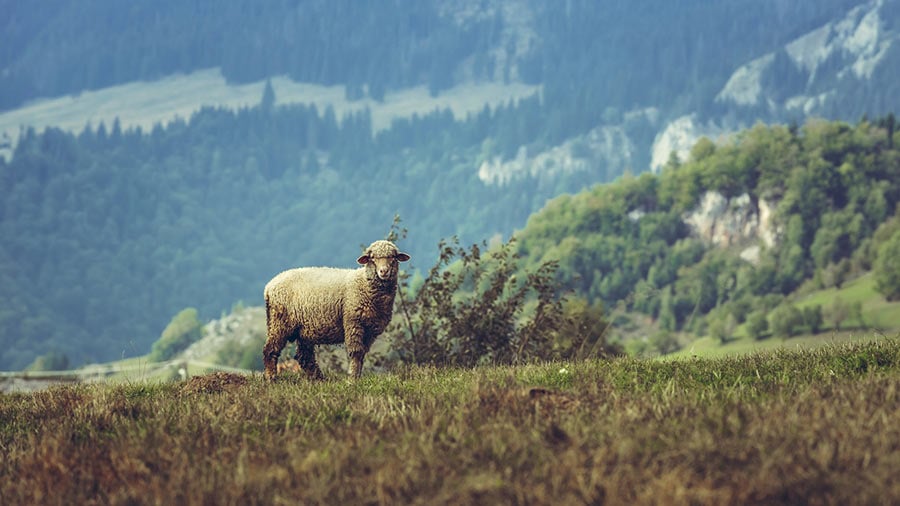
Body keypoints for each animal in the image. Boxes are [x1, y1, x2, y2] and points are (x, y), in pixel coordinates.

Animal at [262, 240, 410, 380]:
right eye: (372, 258)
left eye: (393, 257)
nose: (383, 271)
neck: (364, 283)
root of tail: (269, 286)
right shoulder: (353, 322)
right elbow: (356, 353)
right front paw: (353, 379)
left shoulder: (370, 331)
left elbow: (362, 354)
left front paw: (357, 377)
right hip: (279, 322)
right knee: (270, 350)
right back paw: (271, 378)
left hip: (303, 329)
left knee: (304, 357)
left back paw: (318, 379)